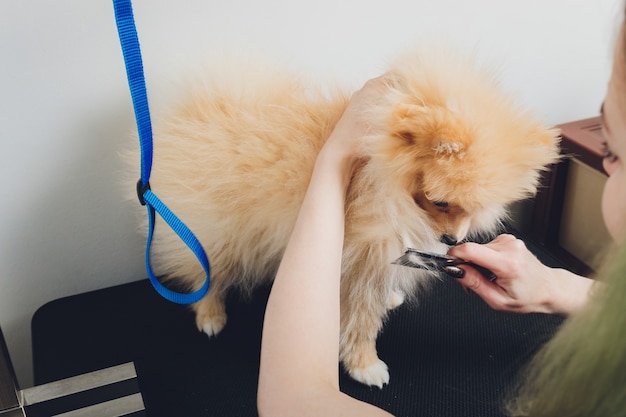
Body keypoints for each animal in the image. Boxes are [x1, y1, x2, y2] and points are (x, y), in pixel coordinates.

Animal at [132, 46, 556, 386]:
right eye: (440, 202)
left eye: (476, 209)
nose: (452, 241)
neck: (385, 181)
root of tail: (201, 110)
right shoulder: (364, 256)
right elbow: (363, 319)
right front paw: (365, 364)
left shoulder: (380, 258)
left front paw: (390, 300)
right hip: (218, 232)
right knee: (207, 273)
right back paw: (210, 313)